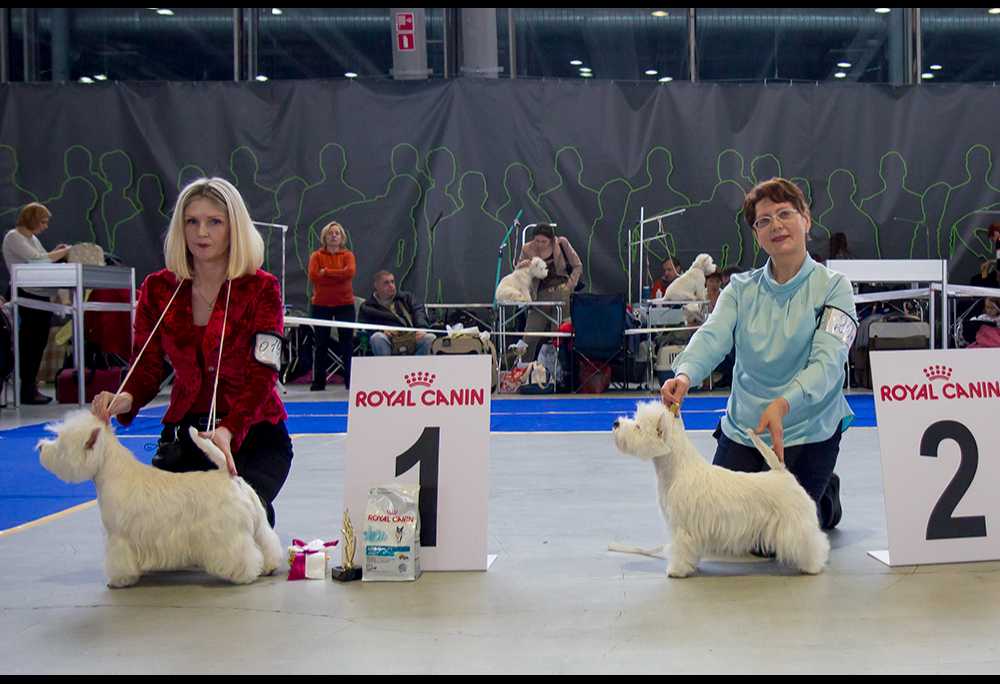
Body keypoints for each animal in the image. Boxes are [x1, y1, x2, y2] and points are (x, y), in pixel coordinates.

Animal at [38, 410, 284, 588]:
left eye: (60, 443)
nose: (40, 446)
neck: (111, 472)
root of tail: (229, 475)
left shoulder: (118, 536)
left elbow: (119, 560)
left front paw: (118, 581)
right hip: (258, 524)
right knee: (267, 543)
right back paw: (268, 566)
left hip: (226, 533)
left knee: (242, 552)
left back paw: (243, 575)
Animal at [611, 401, 829, 578]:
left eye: (638, 426)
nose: (615, 423)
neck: (678, 469)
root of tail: (782, 473)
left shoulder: (681, 526)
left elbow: (680, 548)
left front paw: (676, 570)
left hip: (794, 523)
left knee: (812, 542)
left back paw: (813, 566)